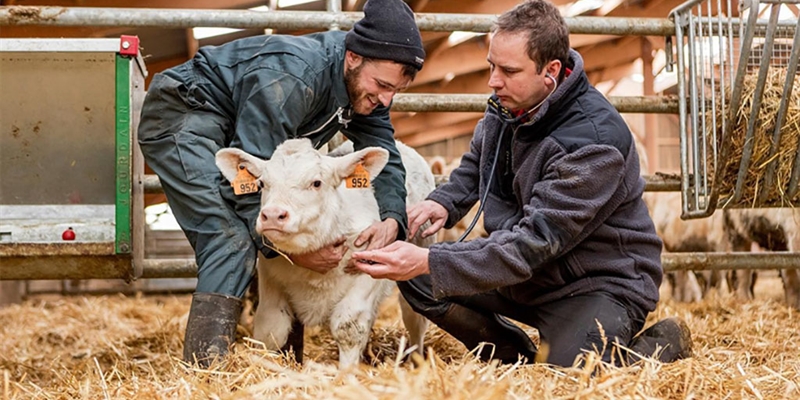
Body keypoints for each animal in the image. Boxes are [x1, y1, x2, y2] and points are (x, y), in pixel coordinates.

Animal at [216, 138, 434, 368]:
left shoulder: (369, 269)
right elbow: (271, 328)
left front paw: (346, 373)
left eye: (316, 183)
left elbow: (348, 327)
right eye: (262, 184)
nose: (273, 215)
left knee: (414, 318)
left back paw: (416, 361)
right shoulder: (270, 276)